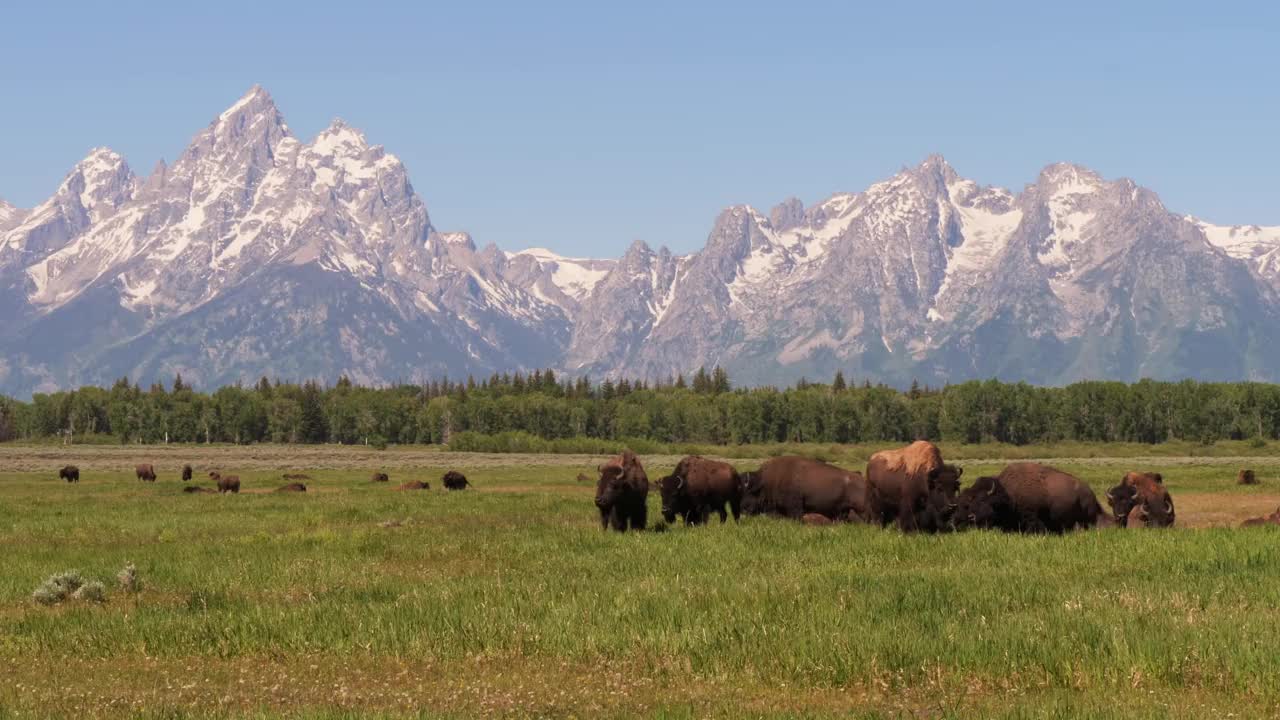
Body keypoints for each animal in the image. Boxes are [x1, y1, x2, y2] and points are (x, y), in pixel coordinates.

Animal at [737, 453, 875, 520]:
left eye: (746, 492)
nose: (740, 510)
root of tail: (863, 480)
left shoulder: (795, 508)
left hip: (861, 509)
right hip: (842, 512)